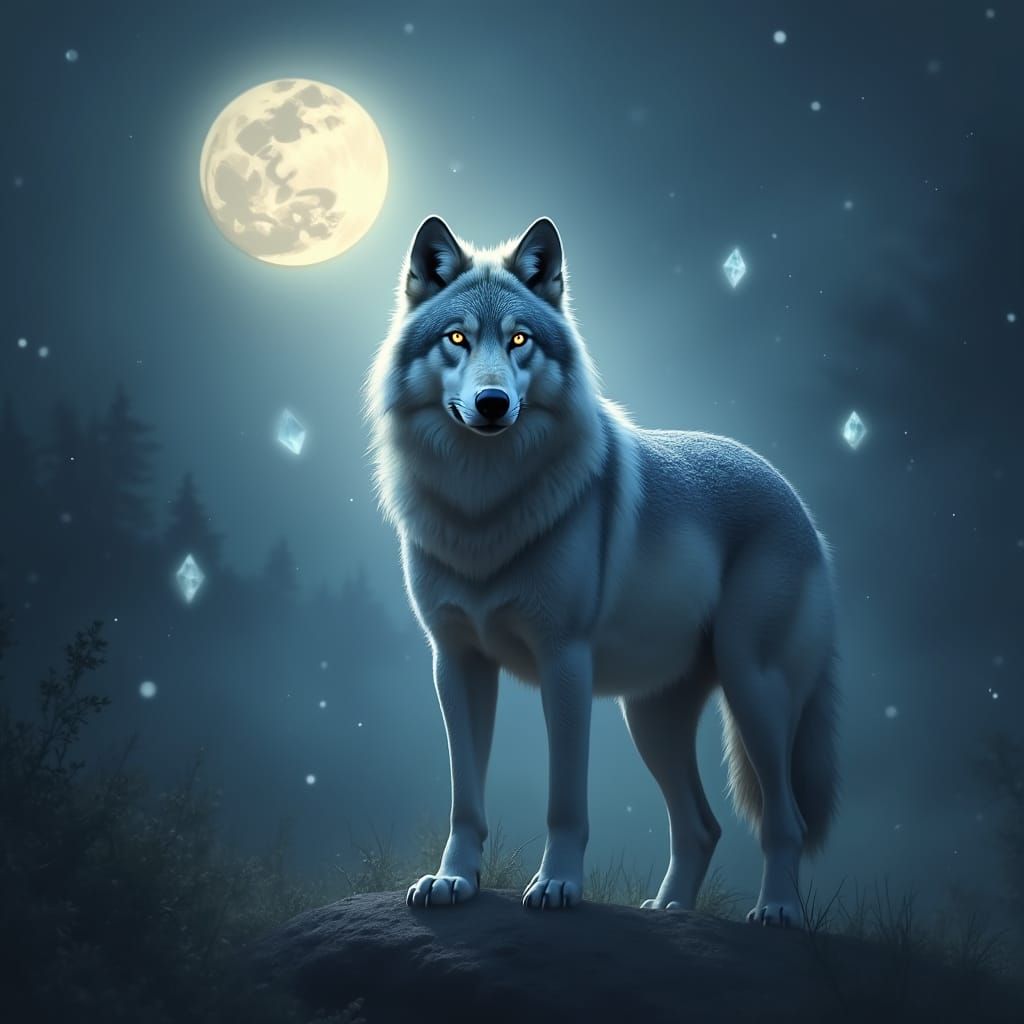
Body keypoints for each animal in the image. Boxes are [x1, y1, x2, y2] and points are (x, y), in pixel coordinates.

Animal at [365, 216, 839, 926]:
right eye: (457, 338)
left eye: (520, 340)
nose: (493, 402)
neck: (483, 508)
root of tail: (802, 508)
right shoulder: (455, 663)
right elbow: (465, 800)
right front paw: (453, 882)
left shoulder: (565, 662)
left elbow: (565, 801)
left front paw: (558, 886)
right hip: (650, 719)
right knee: (701, 826)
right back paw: (667, 912)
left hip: (753, 691)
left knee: (786, 820)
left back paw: (777, 911)